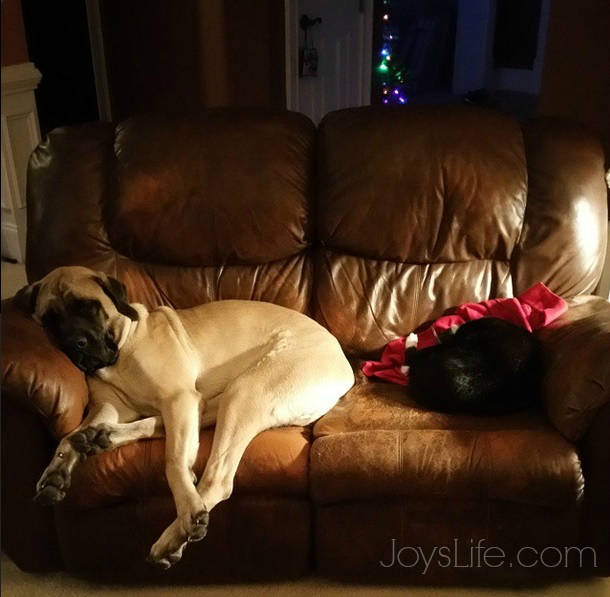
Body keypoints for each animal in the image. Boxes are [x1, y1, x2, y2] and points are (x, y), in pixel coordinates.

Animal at [14, 266, 354, 568]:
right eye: (50, 320)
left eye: (88, 307)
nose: (76, 345)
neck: (125, 345)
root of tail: (343, 365)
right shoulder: (111, 406)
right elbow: (68, 437)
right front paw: (56, 471)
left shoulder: (178, 398)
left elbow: (173, 462)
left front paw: (189, 506)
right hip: (224, 397)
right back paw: (101, 437)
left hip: (246, 390)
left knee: (218, 479)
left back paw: (174, 535)